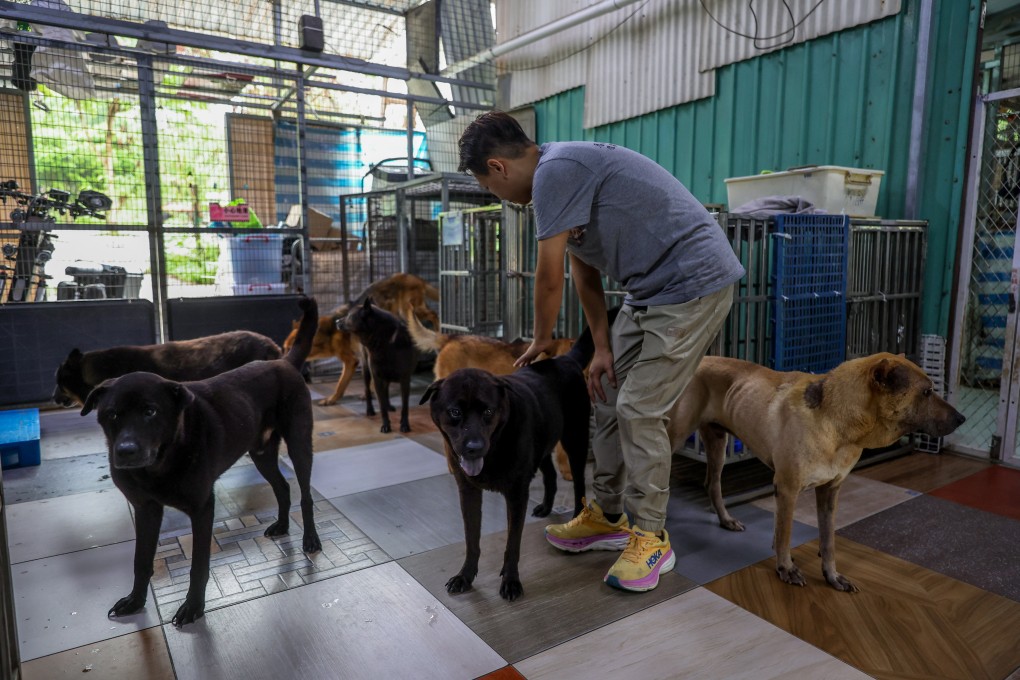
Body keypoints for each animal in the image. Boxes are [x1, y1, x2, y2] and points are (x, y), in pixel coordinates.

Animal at [81, 297, 320, 628]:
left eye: (150, 411)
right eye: (112, 414)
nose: (126, 451)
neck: (160, 463)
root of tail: (283, 362)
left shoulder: (202, 509)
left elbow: (198, 566)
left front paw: (193, 607)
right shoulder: (145, 510)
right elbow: (141, 560)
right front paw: (135, 600)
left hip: (299, 445)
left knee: (305, 495)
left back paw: (310, 539)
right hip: (261, 454)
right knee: (283, 487)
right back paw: (283, 525)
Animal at [338, 295, 418, 430]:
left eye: (349, 315)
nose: (336, 321)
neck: (385, 340)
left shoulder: (405, 379)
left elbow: (405, 406)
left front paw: (404, 424)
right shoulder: (377, 377)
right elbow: (381, 405)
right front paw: (386, 425)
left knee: (386, 390)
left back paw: (389, 406)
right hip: (366, 371)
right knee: (367, 390)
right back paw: (370, 410)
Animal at [420, 318, 603, 599]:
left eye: (488, 411)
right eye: (454, 412)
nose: (474, 448)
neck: (495, 446)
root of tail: (566, 359)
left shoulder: (517, 495)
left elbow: (512, 543)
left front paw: (511, 581)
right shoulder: (468, 493)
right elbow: (471, 539)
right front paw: (465, 576)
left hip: (575, 438)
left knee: (579, 482)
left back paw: (575, 515)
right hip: (543, 442)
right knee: (550, 474)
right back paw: (545, 507)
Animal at [669, 354, 962, 591]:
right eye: (926, 392)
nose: (962, 419)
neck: (835, 419)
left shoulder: (830, 491)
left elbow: (827, 540)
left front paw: (832, 575)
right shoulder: (787, 489)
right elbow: (785, 533)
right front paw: (786, 568)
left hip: (717, 442)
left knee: (712, 484)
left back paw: (726, 520)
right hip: (673, 438)